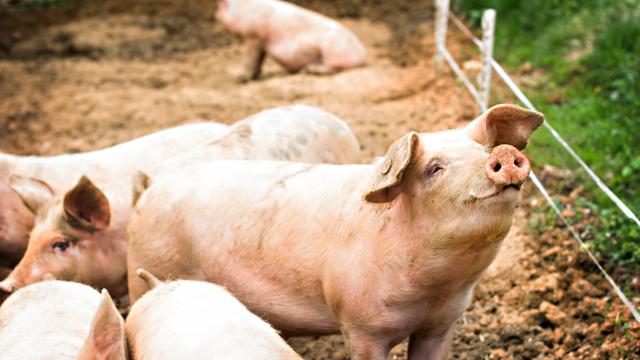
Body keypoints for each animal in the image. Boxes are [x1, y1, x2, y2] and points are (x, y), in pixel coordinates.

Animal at [215, 0, 364, 81]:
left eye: (219, 9)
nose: (216, 16)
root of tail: (363, 54)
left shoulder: (253, 36)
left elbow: (251, 59)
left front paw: (239, 79)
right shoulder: (262, 42)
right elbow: (259, 60)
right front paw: (256, 76)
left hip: (333, 50)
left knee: (333, 68)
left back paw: (308, 70)